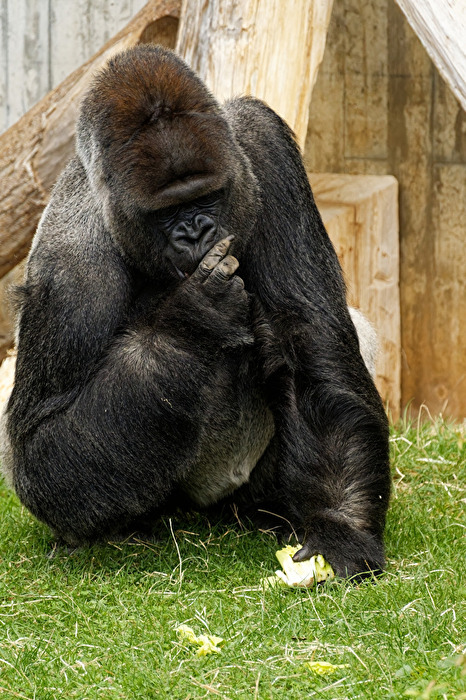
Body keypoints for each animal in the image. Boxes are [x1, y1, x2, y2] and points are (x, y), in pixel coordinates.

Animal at [2, 45, 391, 579]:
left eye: (206, 196)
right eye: (167, 212)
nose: (197, 232)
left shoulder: (261, 143)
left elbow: (308, 337)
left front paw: (341, 528)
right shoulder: (69, 265)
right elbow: (39, 449)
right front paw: (191, 321)